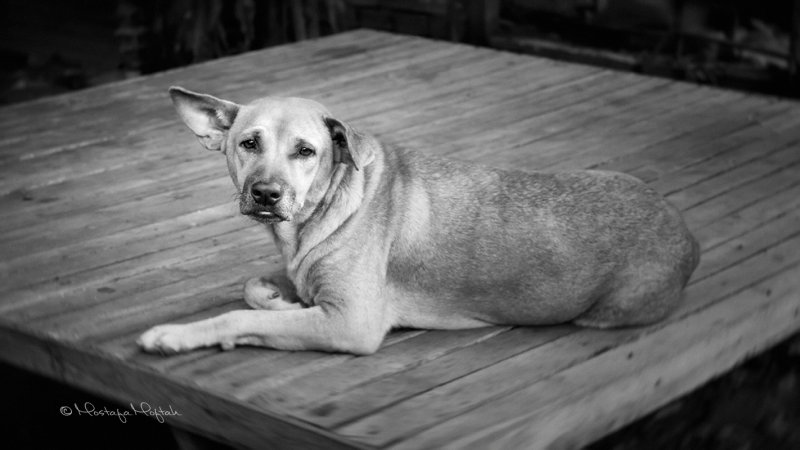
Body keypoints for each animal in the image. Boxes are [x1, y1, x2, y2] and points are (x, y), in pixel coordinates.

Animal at [138, 87, 700, 356]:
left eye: (306, 151)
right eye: (248, 143)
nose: (266, 194)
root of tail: (686, 233)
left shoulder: (351, 323)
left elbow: (237, 315)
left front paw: (176, 335)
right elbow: (253, 287)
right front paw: (279, 299)